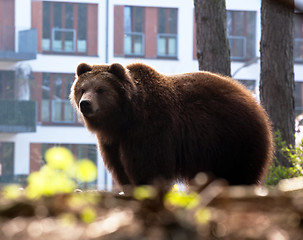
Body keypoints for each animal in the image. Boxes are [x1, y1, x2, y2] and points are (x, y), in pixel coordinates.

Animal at [70, 62, 274, 188]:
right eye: (82, 88)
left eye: (100, 89)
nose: (85, 103)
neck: (125, 117)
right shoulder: (113, 142)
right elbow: (120, 167)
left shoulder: (151, 128)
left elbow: (149, 166)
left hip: (234, 138)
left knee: (239, 172)